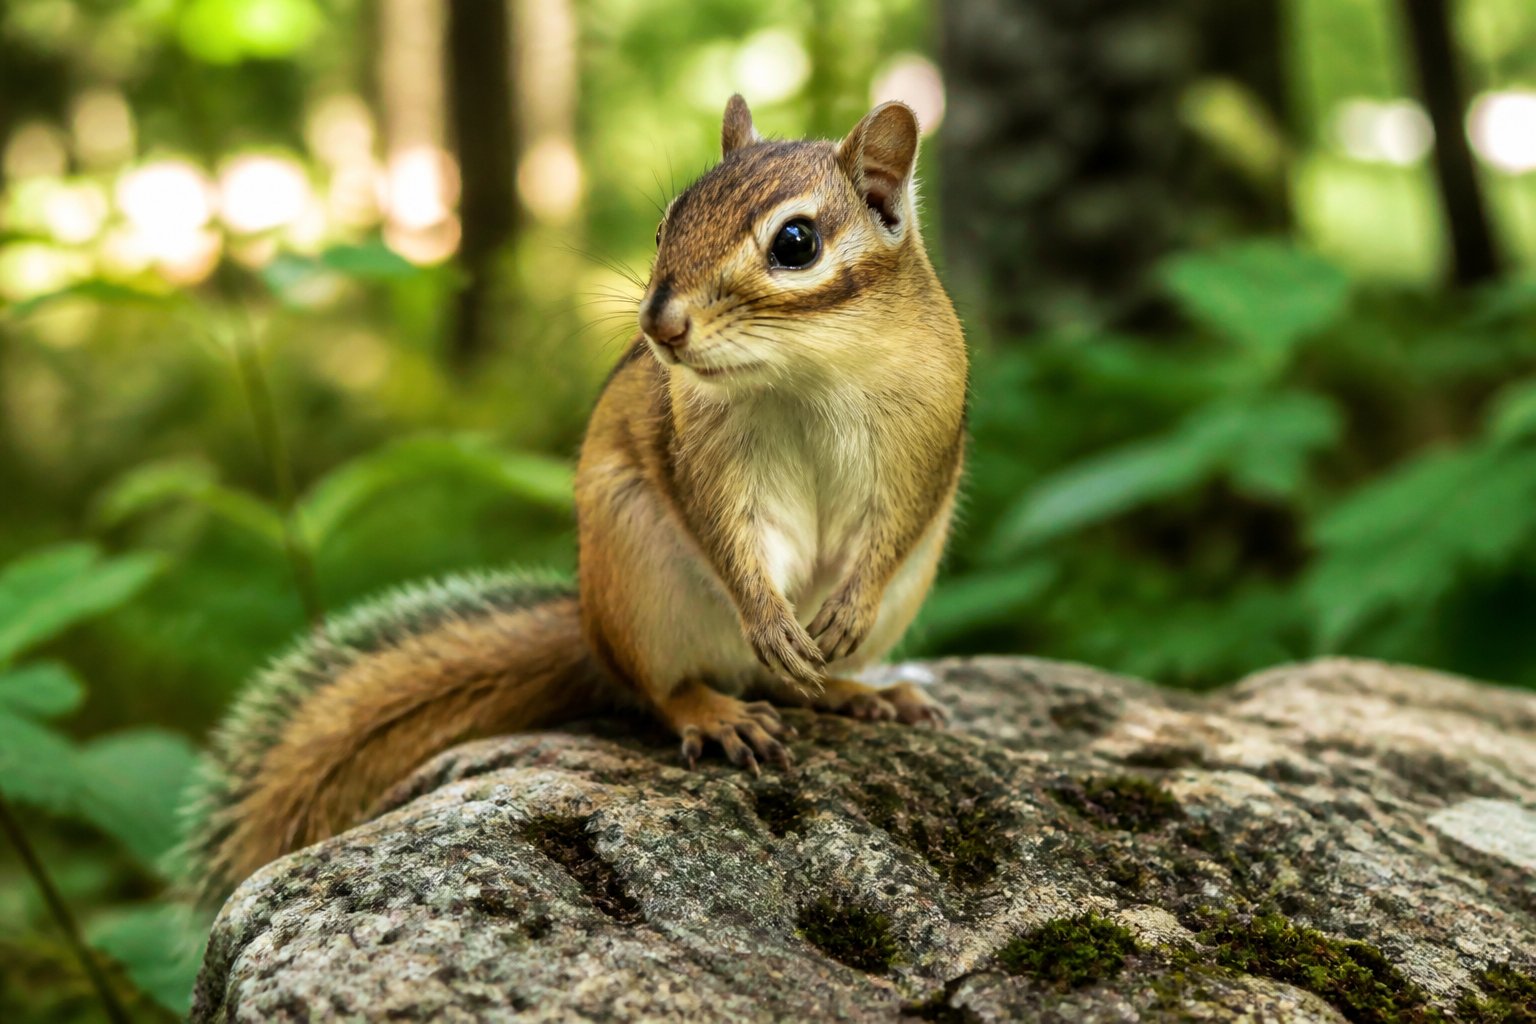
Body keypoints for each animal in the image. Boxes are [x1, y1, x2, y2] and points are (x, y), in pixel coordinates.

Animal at [182, 95, 968, 905]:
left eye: (797, 242)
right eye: (666, 224)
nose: (659, 325)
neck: (806, 373)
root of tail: (591, 630)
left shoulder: (926, 443)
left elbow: (897, 525)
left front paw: (845, 612)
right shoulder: (699, 458)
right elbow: (723, 534)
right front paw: (768, 617)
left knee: (791, 689)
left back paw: (858, 691)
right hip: (640, 585)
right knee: (667, 689)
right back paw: (720, 714)